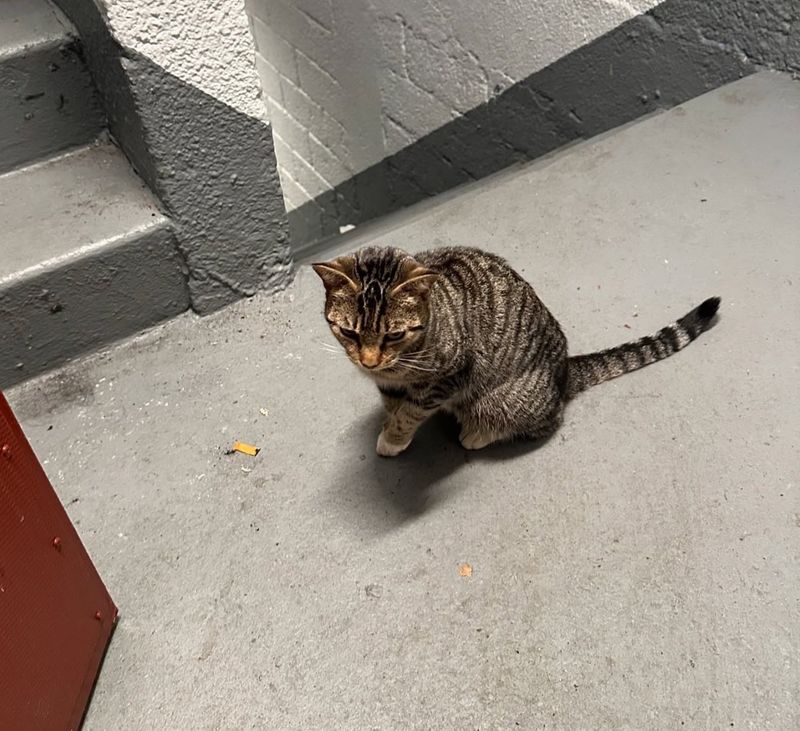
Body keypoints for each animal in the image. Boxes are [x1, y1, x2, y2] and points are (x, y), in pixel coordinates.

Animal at [312, 249, 720, 460]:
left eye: (394, 334)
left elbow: (411, 412)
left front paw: (395, 437)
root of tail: (564, 371)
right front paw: (388, 426)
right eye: (349, 332)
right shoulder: (389, 384)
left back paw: (478, 433)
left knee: (544, 422)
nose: (368, 361)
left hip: (504, 401)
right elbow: (394, 405)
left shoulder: (452, 375)